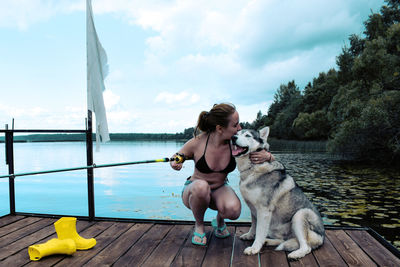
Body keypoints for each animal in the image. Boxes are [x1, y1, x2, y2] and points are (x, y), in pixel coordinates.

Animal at [231, 127, 324, 260]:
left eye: (247, 135)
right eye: (237, 134)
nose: (233, 138)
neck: (252, 168)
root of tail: (322, 237)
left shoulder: (264, 210)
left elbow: (259, 231)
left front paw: (254, 248)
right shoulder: (253, 209)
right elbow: (253, 226)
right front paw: (249, 235)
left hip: (300, 214)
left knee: (306, 247)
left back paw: (295, 254)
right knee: (283, 240)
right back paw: (268, 241)